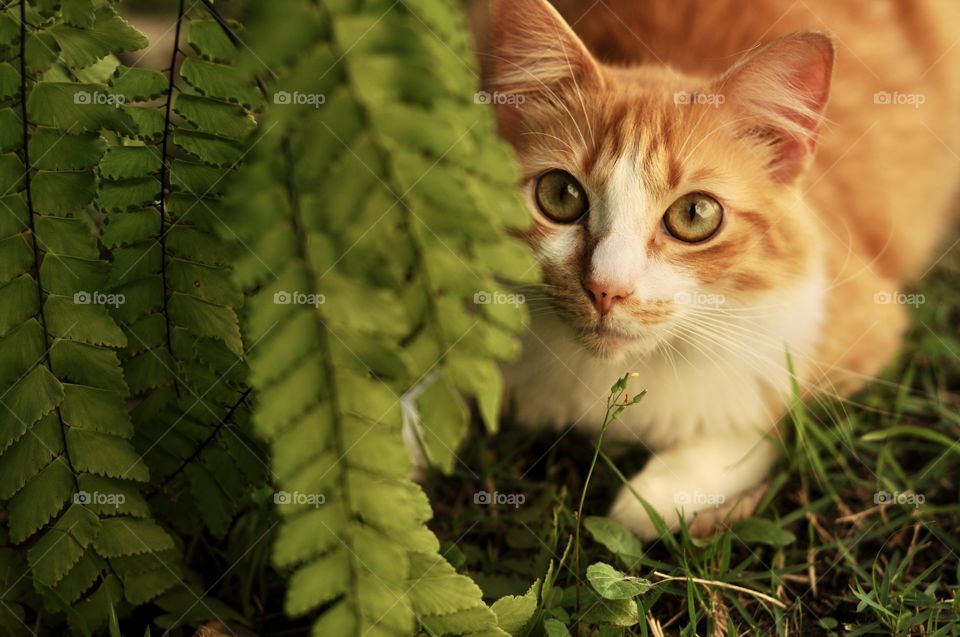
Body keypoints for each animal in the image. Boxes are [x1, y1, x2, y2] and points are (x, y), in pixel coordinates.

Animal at [480, 0, 960, 536]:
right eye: (561, 195)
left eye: (694, 215)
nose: (606, 288)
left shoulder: (856, 325)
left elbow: (761, 418)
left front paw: (655, 496)